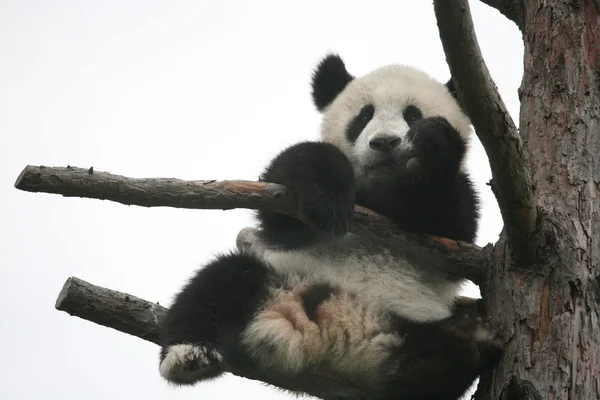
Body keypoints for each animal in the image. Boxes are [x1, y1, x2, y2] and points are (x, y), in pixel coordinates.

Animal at [157, 54, 500, 400]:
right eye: (364, 115)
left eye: (413, 114)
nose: (385, 143)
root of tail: (327, 337)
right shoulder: (288, 209)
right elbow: (291, 190)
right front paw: (328, 202)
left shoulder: (446, 222)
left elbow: (453, 223)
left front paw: (433, 146)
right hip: (280, 279)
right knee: (222, 281)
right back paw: (188, 355)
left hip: (405, 326)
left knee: (435, 366)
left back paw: (464, 342)